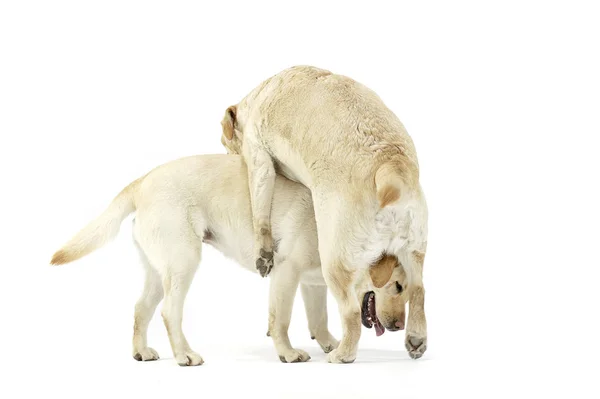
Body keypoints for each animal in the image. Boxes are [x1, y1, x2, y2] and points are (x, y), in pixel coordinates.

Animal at [51, 155, 410, 368]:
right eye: (398, 286)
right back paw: (184, 354)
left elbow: (319, 320)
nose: (399, 327)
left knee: (141, 309)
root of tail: (143, 180)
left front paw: (330, 344)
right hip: (184, 260)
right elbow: (281, 320)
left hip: (159, 269)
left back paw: (141, 351)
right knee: (169, 312)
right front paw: (287, 352)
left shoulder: (311, 283)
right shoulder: (286, 273)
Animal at [223, 65, 428, 362]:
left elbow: (260, 213)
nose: (227, 156)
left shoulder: (259, 159)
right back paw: (415, 338)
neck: (261, 94)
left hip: (334, 257)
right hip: (414, 250)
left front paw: (263, 255)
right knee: (420, 290)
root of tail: (391, 163)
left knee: (351, 312)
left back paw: (342, 355)